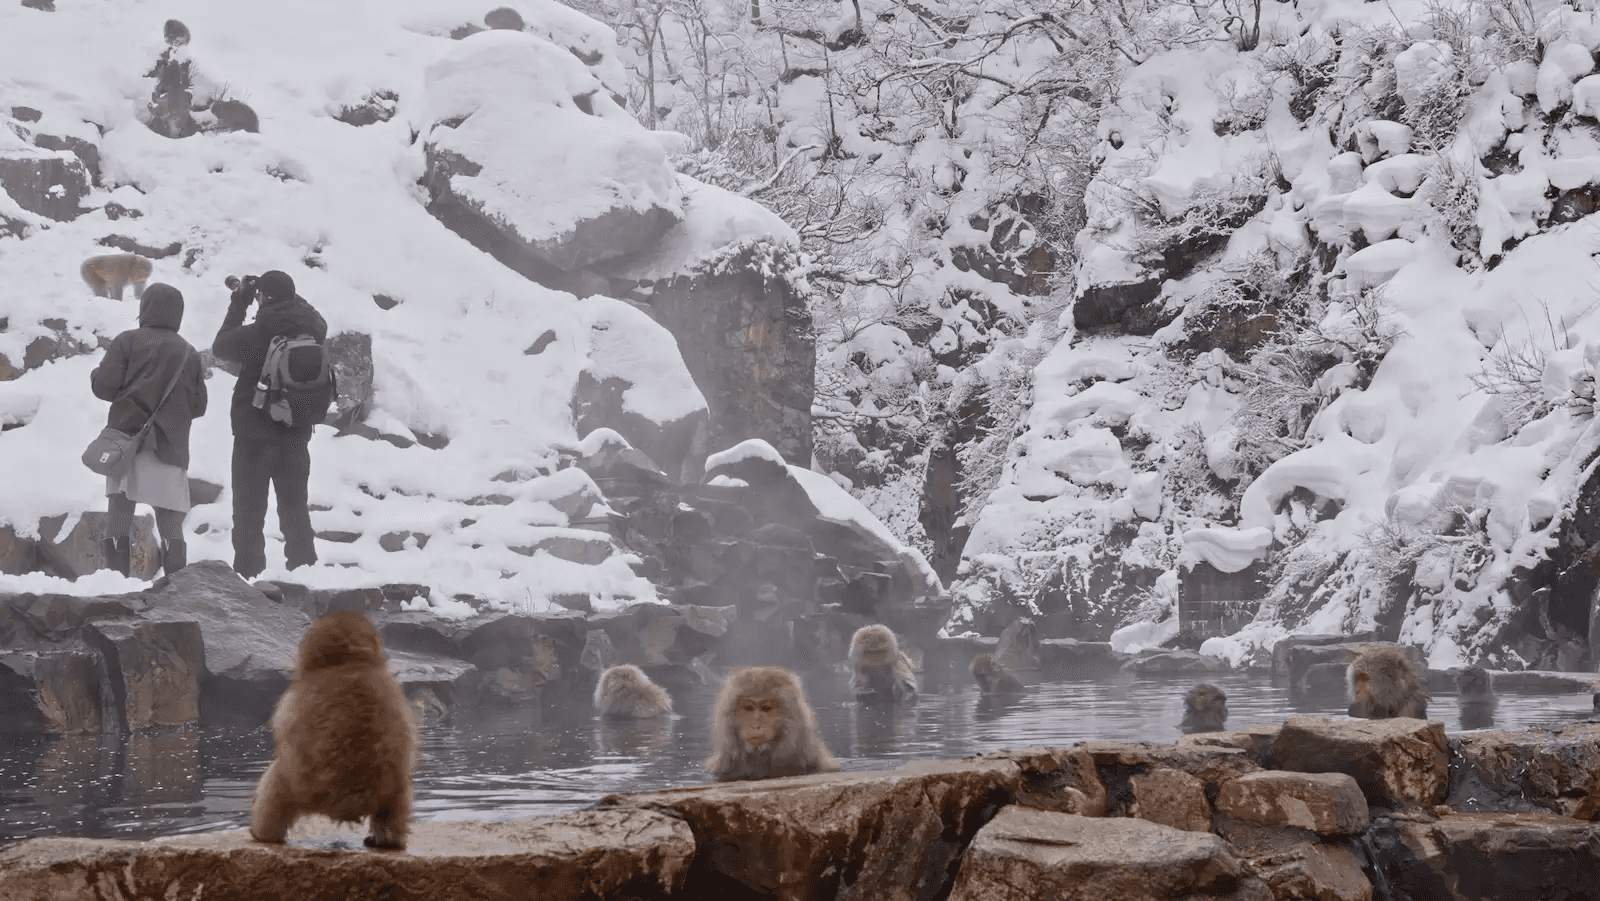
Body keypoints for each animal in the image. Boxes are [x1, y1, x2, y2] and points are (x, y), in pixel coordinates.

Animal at [250, 612, 417, 850]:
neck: (350, 664)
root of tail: (354, 797)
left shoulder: (292, 699)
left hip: (301, 787)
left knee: (274, 785)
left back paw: (263, 834)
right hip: (392, 791)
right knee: (395, 806)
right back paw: (388, 841)